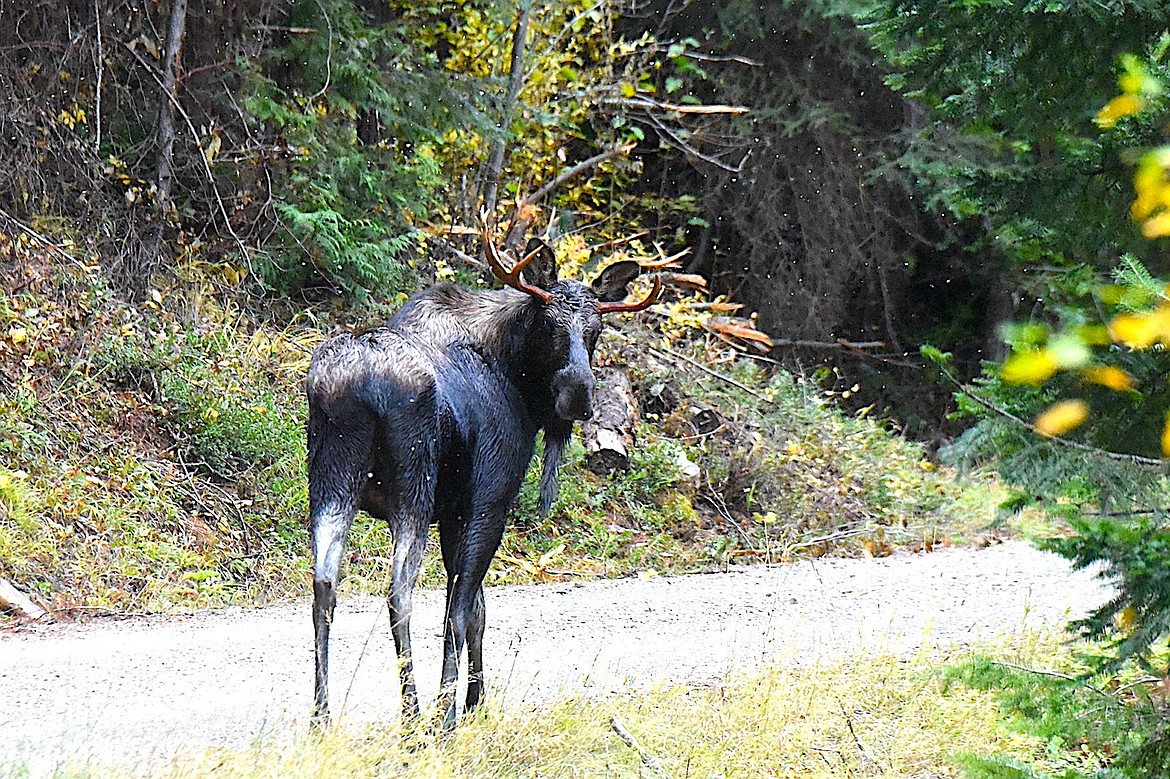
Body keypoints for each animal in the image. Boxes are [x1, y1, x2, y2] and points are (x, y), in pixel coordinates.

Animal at [306, 224, 661, 731]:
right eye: (549, 326)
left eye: (596, 331)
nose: (578, 395)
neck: (518, 380)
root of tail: (360, 386)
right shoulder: (487, 502)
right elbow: (462, 611)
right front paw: (453, 713)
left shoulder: (453, 513)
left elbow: (477, 610)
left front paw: (476, 701)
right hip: (412, 491)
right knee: (399, 595)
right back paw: (413, 720)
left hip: (331, 482)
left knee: (324, 589)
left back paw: (320, 719)